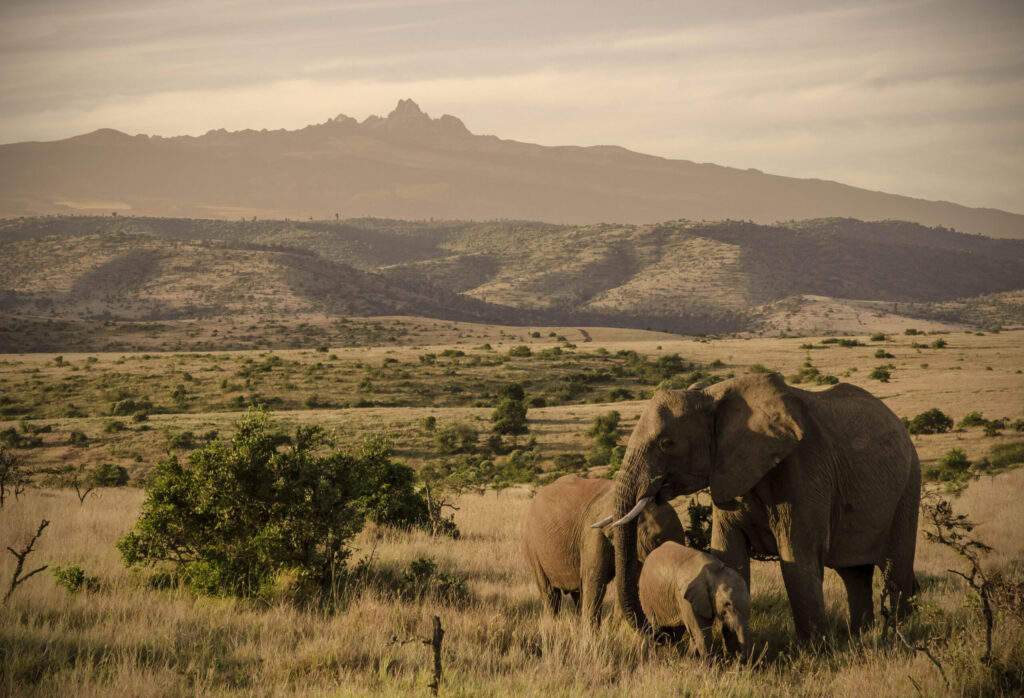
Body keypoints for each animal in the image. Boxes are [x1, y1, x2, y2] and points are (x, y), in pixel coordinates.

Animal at [524, 470, 684, 622]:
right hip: (531, 543)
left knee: (577, 594)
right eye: (656, 541)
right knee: (550, 593)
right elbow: (595, 582)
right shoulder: (593, 533)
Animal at [606, 372, 921, 638]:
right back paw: (861, 638)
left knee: (895, 571)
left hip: (908, 486)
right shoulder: (727, 475)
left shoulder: (805, 471)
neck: (712, 396)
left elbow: (797, 562)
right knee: (855, 575)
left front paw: (815, 653)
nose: (661, 633)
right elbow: (729, 556)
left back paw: (900, 635)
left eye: (666, 443)